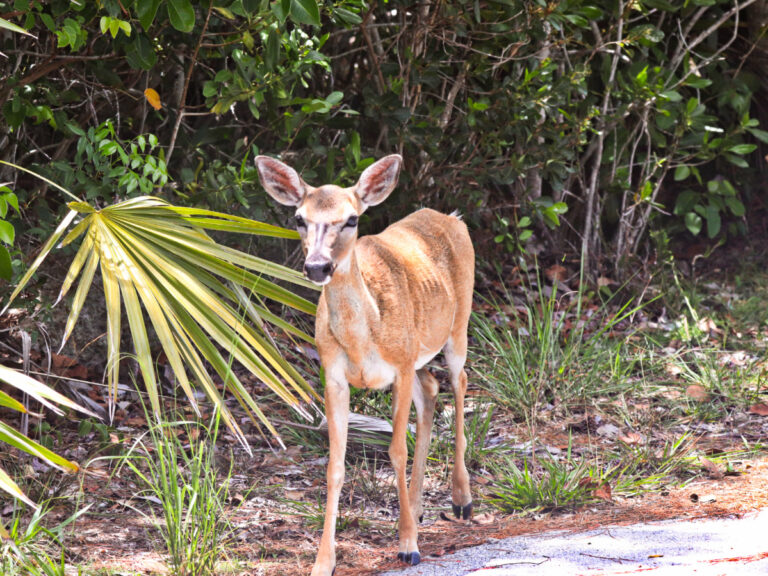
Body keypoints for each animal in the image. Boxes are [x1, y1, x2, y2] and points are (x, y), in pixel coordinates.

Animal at [256, 154, 474, 576]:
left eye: (352, 219)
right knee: (431, 390)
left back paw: (461, 499)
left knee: (460, 381)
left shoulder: (399, 368)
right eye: (299, 218)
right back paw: (418, 509)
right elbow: (335, 466)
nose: (318, 266)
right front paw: (323, 561)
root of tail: (452, 217)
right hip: (417, 353)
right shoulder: (334, 375)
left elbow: (396, 451)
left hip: (458, 326)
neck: (362, 340)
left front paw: (407, 547)